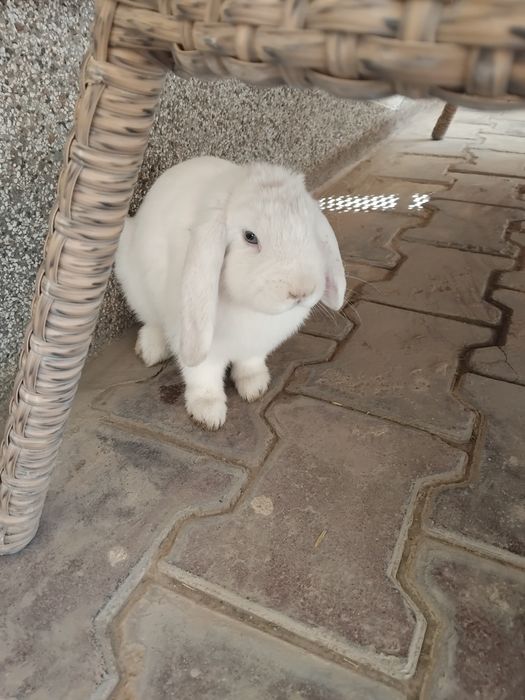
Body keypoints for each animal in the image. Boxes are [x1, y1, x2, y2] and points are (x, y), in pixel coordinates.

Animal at [115, 156, 346, 430]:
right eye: (250, 236)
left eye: (309, 231)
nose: (301, 290)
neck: (250, 309)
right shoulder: (198, 342)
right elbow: (202, 377)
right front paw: (208, 413)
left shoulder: (255, 346)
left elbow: (250, 363)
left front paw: (255, 386)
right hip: (134, 284)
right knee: (150, 321)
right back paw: (151, 351)